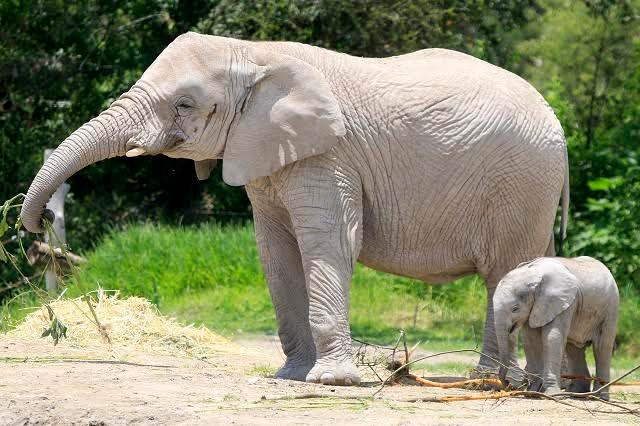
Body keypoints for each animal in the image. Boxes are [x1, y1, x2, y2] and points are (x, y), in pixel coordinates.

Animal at [21, 32, 568, 386]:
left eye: (184, 104)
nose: (38, 225)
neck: (253, 54)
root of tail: (557, 124)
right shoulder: (266, 154)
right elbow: (275, 253)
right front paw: (292, 376)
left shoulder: (329, 155)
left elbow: (330, 244)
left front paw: (333, 383)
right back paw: (519, 383)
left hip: (521, 183)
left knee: (503, 272)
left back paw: (493, 383)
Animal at [492, 256, 616, 400]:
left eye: (515, 308)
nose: (509, 383)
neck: (533, 274)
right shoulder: (536, 307)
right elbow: (531, 340)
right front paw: (532, 392)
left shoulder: (564, 302)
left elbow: (552, 337)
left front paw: (552, 394)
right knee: (573, 348)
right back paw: (576, 393)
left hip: (611, 308)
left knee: (602, 347)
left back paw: (599, 397)